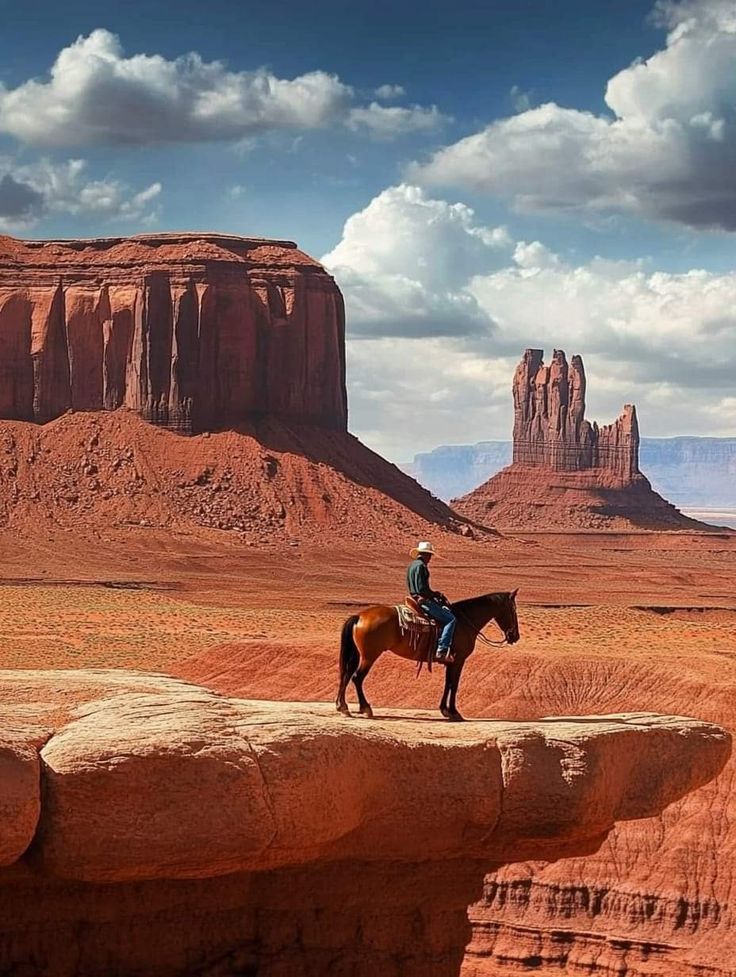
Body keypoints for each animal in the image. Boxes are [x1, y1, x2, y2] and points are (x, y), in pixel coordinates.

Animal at [336, 588, 520, 716]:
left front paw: (445, 710)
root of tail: (359, 616)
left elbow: (447, 683)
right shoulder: (459, 660)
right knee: (357, 677)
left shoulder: (450, 661)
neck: (464, 621)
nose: (515, 636)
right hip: (369, 656)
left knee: (346, 674)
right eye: (513, 611)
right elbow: (454, 685)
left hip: (359, 655)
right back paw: (365, 708)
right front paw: (454, 712)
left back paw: (343, 706)